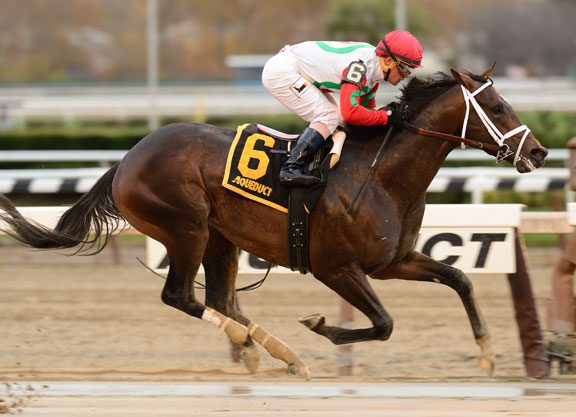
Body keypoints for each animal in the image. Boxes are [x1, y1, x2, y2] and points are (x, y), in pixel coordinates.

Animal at [0, 68, 548, 376]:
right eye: (497, 105)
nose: (539, 152)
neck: (380, 173)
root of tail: (127, 159)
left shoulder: (393, 261)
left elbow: (458, 278)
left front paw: (486, 351)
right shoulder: (337, 268)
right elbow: (384, 323)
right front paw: (320, 326)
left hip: (220, 239)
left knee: (220, 300)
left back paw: (274, 351)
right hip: (187, 229)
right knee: (182, 297)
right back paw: (271, 347)